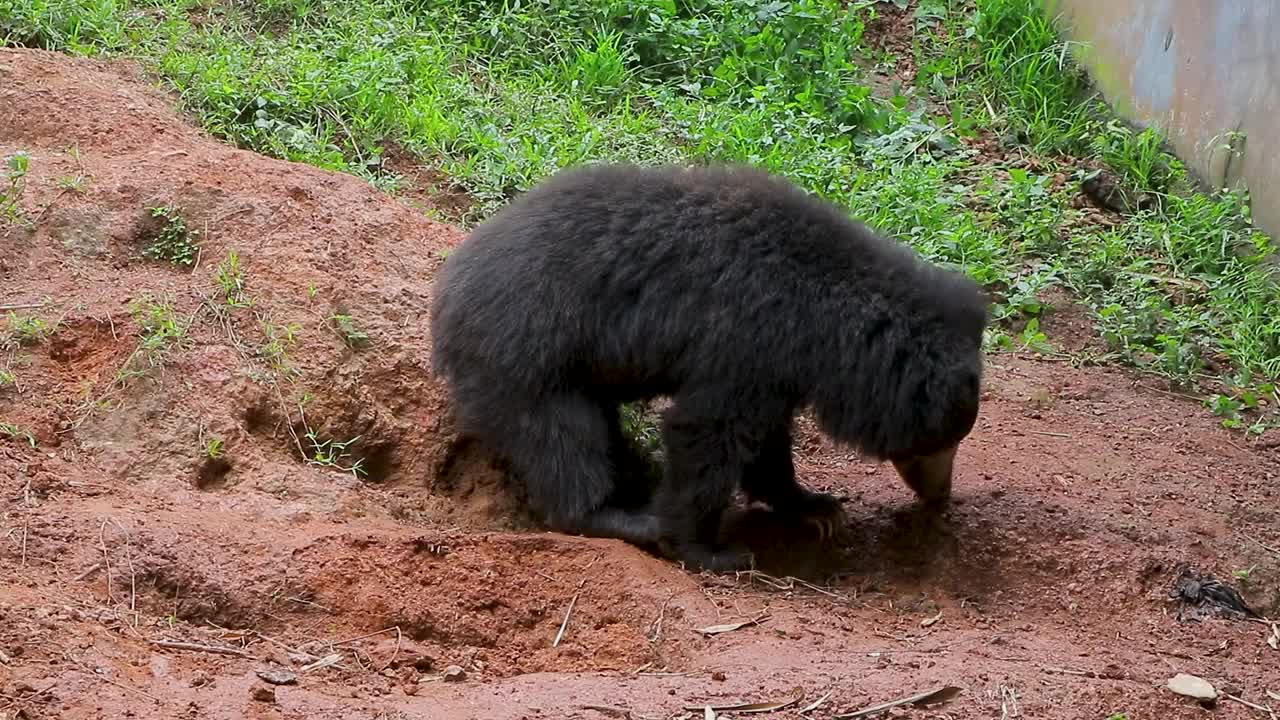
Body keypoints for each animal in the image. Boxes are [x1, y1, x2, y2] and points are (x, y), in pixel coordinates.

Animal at [430, 162, 988, 571]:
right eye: (937, 443)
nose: (941, 496)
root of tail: (447, 290)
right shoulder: (743, 339)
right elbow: (708, 432)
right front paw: (709, 549)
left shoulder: (775, 367)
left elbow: (765, 443)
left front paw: (817, 509)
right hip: (527, 355)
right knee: (561, 439)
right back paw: (622, 517)